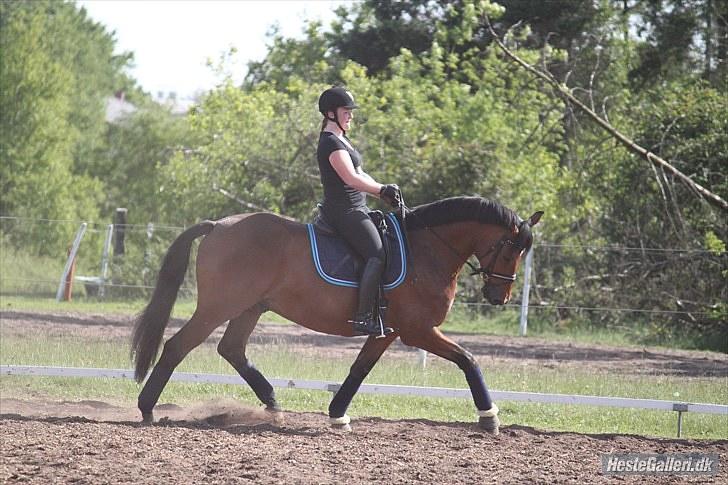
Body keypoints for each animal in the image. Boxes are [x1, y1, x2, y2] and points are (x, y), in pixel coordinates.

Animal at [129, 195, 540, 432]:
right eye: (510, 249)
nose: (499, 296)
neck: (427, 250)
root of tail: (218, 225)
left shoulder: (388, 331)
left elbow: (360, 369)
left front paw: (337, 413)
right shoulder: (417, 330)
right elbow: (469, 360)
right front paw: (489, 418)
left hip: (250, 307)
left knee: (230, 349)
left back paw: (273, 405)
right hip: (220, 305)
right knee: (177, 346)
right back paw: (147, 409)